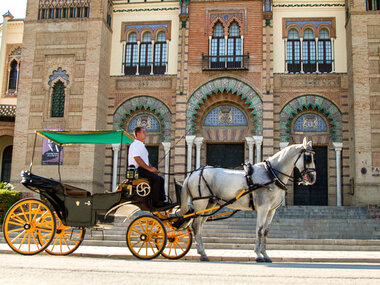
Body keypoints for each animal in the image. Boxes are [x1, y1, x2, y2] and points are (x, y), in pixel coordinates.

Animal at [180, 138, 316, 262]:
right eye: (308, 158)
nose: (312, 178)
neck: (271, 174)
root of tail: (193, 173)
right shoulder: (263, 208)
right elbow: (259, 230)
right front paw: (258, 255)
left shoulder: (271, 210)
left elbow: (266, 231)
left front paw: (265, 254)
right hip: (200, 202)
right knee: (196, 225)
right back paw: (203, 253)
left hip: (210, 203)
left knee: (200, 226)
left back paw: (201, 251)